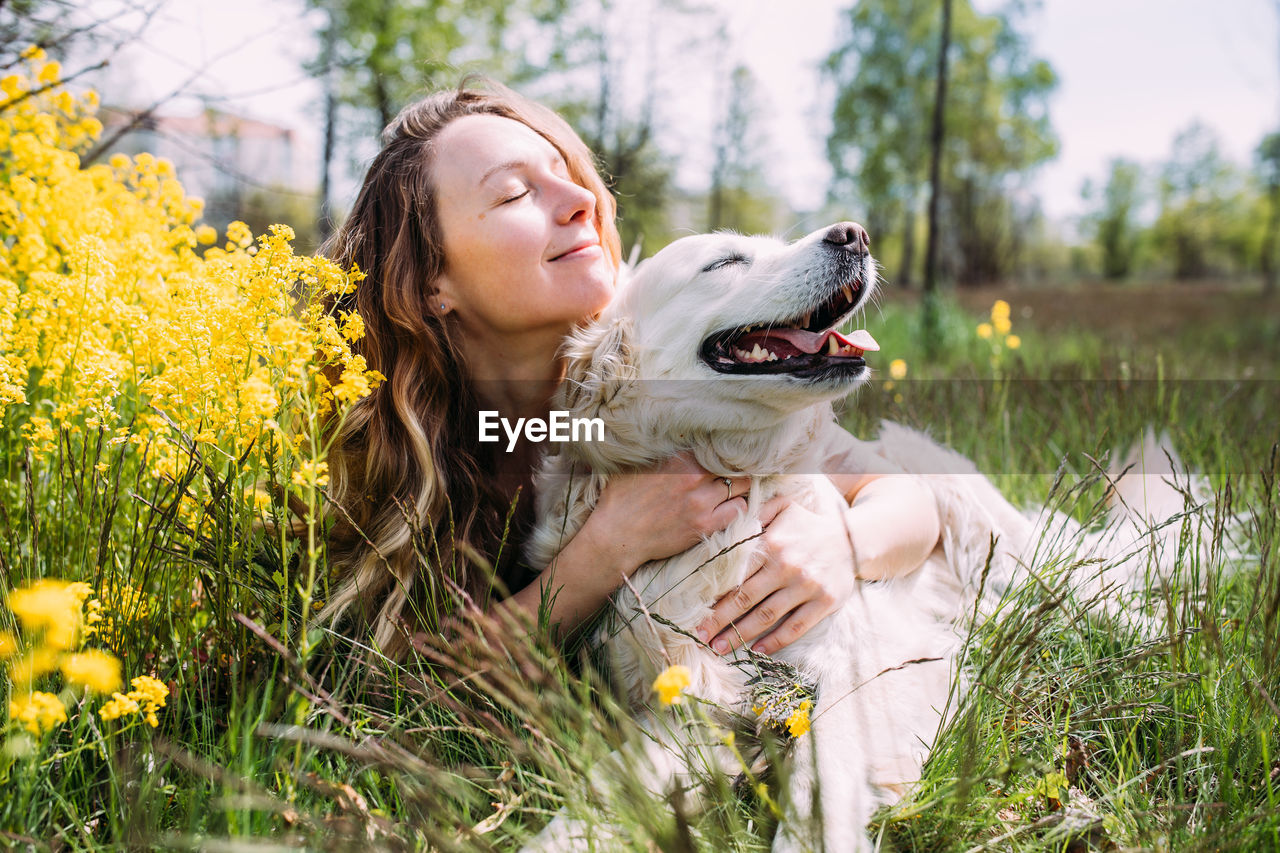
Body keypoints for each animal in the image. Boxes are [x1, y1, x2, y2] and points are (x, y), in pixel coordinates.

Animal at [522, 222, 1198, 845]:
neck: (736, 490)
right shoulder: (683, 711)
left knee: (1099, 593)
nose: (854, 233)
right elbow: (593, 802)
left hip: (997, 541)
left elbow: (817, 807)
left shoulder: (849, 673)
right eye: (726, 261)